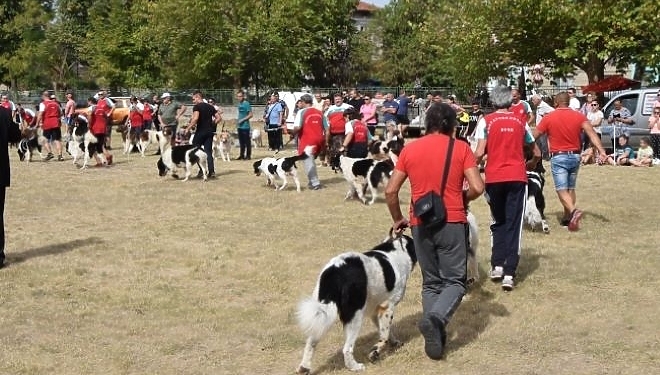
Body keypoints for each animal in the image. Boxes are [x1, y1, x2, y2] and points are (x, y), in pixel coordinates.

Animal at [296, 232, 416, 374]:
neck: (397, 250)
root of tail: (335, 272)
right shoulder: (387, 307)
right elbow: (384, 335)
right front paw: (374, 352)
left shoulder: (375, 311)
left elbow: (385, 331)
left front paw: (393, 343)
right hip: (354, 317)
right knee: (347, 348)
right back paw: (355, 367)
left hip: (321, 312)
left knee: (311, 341)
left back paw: (304, 367)